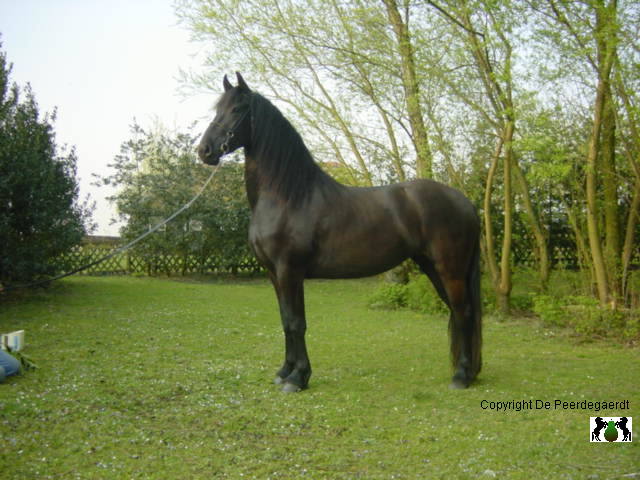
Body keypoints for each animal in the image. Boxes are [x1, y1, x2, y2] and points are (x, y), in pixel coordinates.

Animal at [197, 72, 482, 392]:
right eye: (217, 109)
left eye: (237, 109)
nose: (204, 150)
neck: (288, 196)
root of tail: (465, 202)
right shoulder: (273, 273)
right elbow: (285, 321)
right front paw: (285, 371)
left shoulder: (289, 270)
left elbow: (296, 322)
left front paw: (298, 378)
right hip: (433, 267)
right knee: (459, 312)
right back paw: (469, 372)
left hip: (450, 269)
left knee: (463, 312)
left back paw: (461, 376)